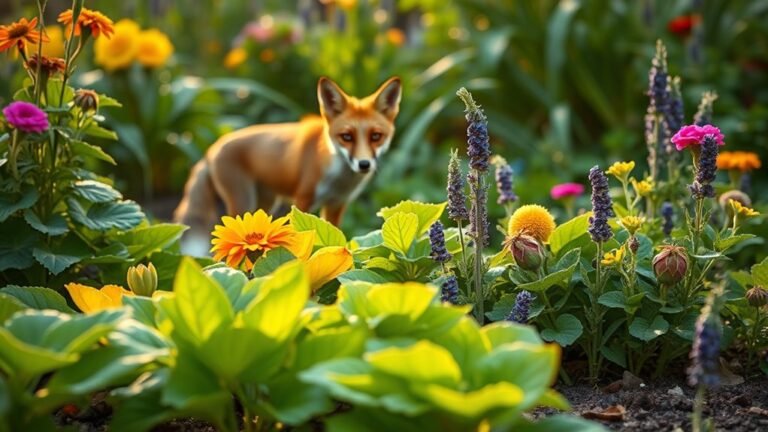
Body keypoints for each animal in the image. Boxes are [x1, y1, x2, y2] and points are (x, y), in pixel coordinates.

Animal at [173, 76, 402, 256]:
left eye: (376, 136)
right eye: (346, 137)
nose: (364, 164)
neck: (339, 178)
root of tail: (211, 148)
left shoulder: (337, 204)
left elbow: (336, 236)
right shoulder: (303, 199)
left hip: (265, 205)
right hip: (242, 202)